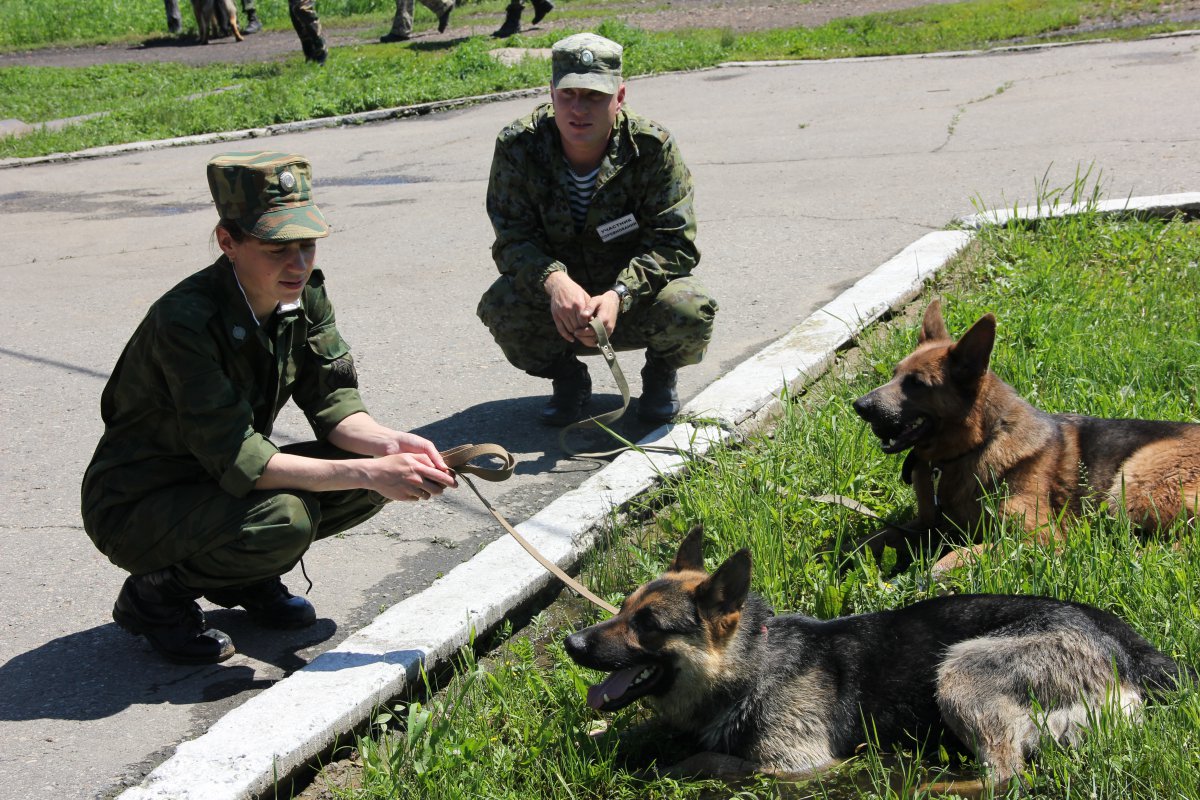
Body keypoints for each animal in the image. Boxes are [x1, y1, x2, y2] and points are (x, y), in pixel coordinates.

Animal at [561, 525, 1190, 786]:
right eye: (622, 610)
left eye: (647, 625)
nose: (572, 643)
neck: (751, 665)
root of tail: (1130, 650)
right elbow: (651, 732)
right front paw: (600, 735)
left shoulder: (796, 764)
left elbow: (703, 759)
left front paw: (659, 770)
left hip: (959, 670)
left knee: (1005, 775)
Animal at [849, 299, 1200, 568]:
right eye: (894, 374)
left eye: (917, 383)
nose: (859, 406)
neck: (979, 444)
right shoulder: (925, 524)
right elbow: (873, 539)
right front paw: (845, 555)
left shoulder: (1038, 536)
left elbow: (955, 557)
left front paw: (929, 577)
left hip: (1131, 486)